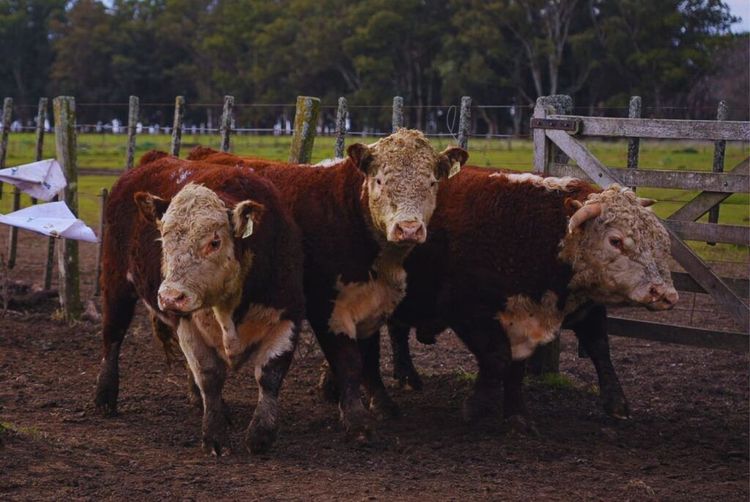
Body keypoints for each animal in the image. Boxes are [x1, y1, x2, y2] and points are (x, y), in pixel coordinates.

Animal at [94, 152, 305, 455]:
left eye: (214, 242)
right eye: (163, 238)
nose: (170, 297)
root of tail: (156, 158)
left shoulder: (288, 315)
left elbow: (270, 374)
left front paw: (260, 435)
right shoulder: (187, 322)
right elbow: (209, 375)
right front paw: (214, 435)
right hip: (116, 283)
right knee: (112, 336)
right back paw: (105, 396)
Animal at [187, 129, 468, 441]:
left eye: (431, 182)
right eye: (380, 180)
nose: (408, 229)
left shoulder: (371, 303)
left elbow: (370, 356)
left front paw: (382, 403)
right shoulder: (325, 306)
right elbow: (349, 360)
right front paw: (356, 420)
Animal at [359, 167, 677, 427]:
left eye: (660, 241)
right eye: (615, 240)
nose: (665, 293)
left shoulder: (553, 312)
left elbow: (596, 349)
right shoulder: (468, 312)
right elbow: (498, 356)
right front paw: (477, 405)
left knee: (397, 331)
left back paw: (405, 376)